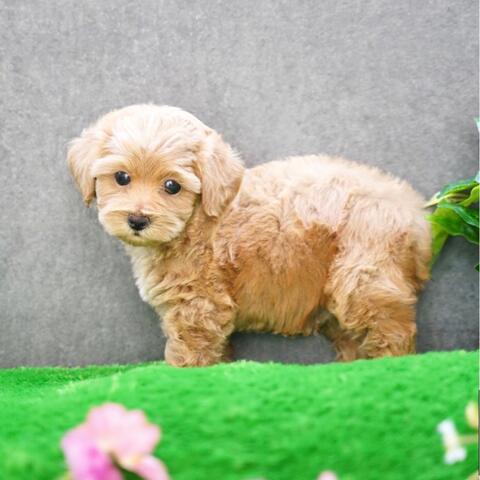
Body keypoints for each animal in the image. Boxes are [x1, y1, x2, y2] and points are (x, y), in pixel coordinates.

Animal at [69, 105, 434, 366]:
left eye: (172, 186)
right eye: (121, 177)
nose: (137, 219)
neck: (196, 222)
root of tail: (412, 211)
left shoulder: (198, 304)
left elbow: (189, 348)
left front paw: (179, 374)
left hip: (363, 277)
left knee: (392, 330)